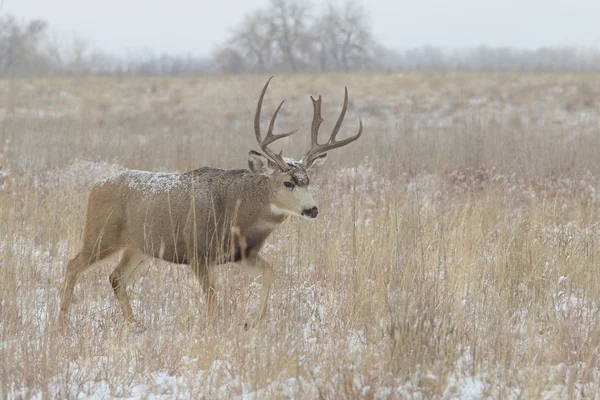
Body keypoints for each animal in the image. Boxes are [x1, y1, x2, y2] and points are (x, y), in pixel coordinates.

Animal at [58, 76, 364, 330]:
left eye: (308, 180)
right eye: (288, 182)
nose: (312, 210)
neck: (236, 214)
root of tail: (95, 186)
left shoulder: (240, 254)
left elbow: (269, 271)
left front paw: (251, 322)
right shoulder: (198, 252)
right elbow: (213, 297)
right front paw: (212, 329)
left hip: (140, 247)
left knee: (116, 277)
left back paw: (135, 325)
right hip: (101, 235)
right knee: (73, 265)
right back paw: (62, 323)